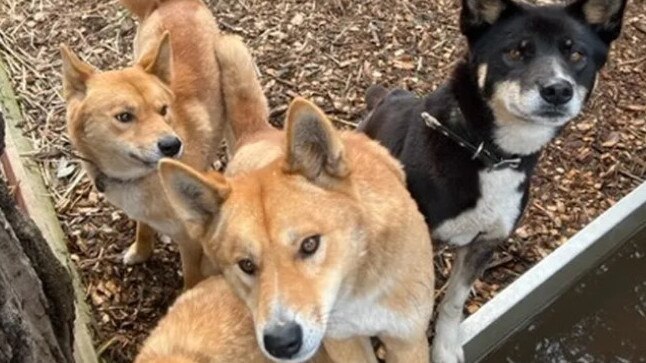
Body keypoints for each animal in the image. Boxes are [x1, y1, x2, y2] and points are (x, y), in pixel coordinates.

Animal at [61, 0, 240, 288]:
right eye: (124, 116)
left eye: (163, 109)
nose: (172, 145)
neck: (140, 178)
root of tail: (172, 2)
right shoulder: (142, 214)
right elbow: (143, 229)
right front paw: (141, 251)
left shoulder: (190, 242)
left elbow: (191, 279)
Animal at [156, 37, 436, 363]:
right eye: (246, 265)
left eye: (310, 244)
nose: (281, 342)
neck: (357, 284)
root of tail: (259, 133)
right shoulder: (343, 342)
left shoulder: (408, 340)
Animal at [360, 1, 628, 362]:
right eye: (515, 51)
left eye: (576, 55)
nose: (558, 90)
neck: (488, 155)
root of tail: (386, 96)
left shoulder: (485, 243)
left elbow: (453, 302)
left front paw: (445, 348)